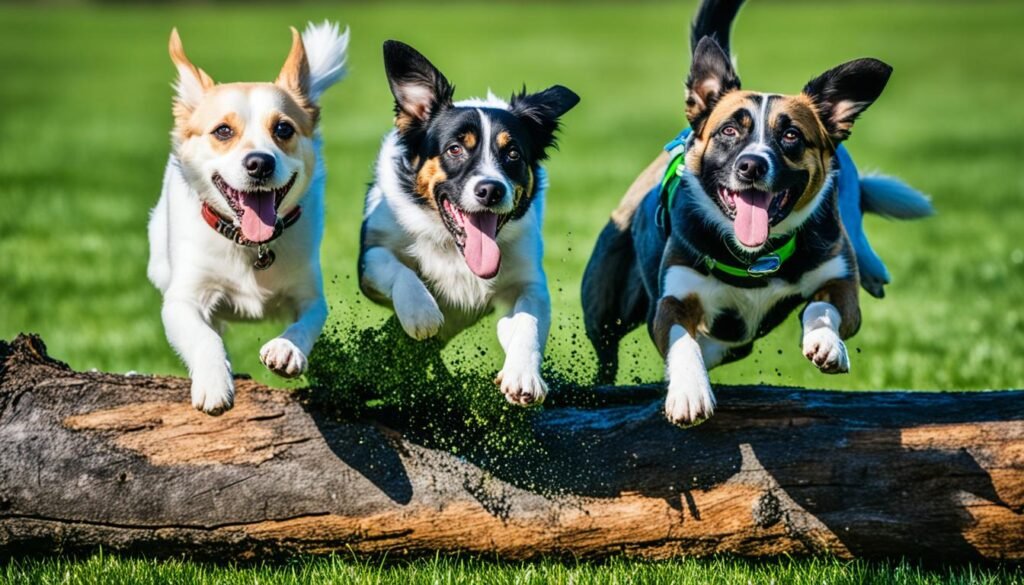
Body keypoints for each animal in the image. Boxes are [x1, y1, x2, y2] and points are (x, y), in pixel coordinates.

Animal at [146, 22, 350, 413]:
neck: (251, 244)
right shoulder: (182, 299)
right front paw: (214, 382)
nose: (259, 162)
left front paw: (287, 349)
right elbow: (203, 336)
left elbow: (308, 321)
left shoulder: (309, 294)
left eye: (283, 129)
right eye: (223, 131)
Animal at [362, 42, 581, 407]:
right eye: (454, 149)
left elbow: (528, 322)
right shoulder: (370, 257)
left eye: (513, 154)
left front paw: (523, 376)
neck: (455, 249)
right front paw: (420, 313)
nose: (491, 190)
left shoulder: (526, 281)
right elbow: (396, 268)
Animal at [581, 0, 933, 424]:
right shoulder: (673, 297)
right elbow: (682, 339)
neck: (755, 258)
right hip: (604, 303)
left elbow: (823, 304)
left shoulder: (839, 279)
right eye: (729, 131)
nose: (752, 165)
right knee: (608, 354)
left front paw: (825, 343)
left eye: (791, 135)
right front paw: (689, 392)